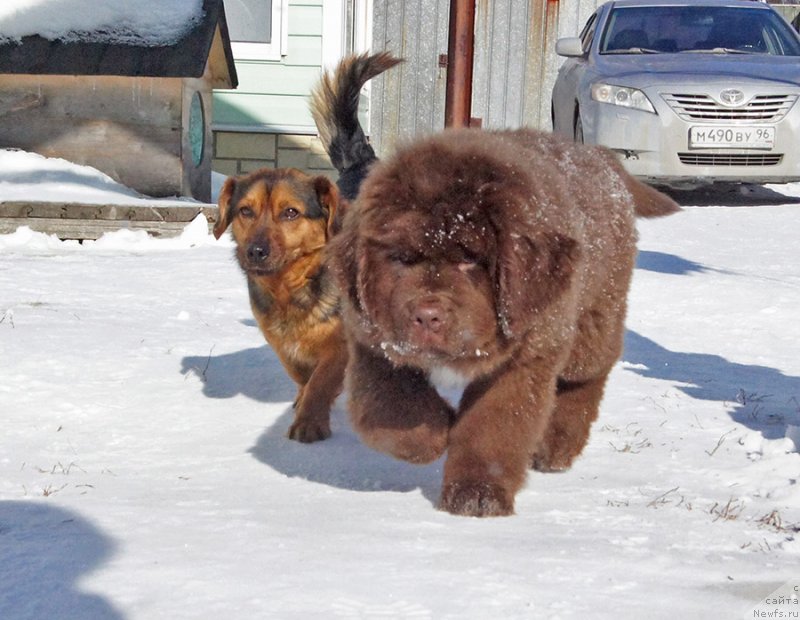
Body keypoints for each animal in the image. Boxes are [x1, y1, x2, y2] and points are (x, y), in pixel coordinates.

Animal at [212, 167, 346, 444]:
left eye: (291, 212)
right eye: (245, 211)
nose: (255, 252)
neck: (289, 289)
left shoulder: (340, 344)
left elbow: (320, 382)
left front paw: (309, 424)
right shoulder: (280, 343)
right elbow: (301, 376)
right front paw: (303, 401)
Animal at [324, 130, 676, 520]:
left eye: (470, 261)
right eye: (401, 258)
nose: (428, 315)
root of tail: (601, 158)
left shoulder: (525, 357)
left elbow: (491, 427)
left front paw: (476, 495)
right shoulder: (372, 342)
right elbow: (387, 407)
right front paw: (432, 433)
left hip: (593, 314)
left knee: (589, 373)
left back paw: (557, 446)